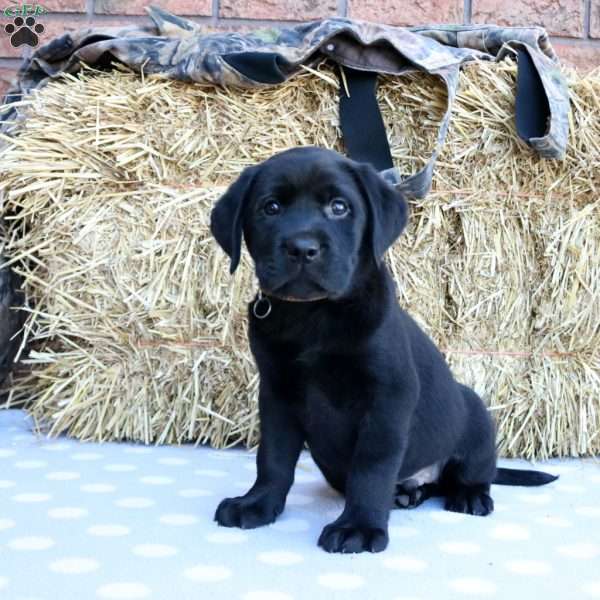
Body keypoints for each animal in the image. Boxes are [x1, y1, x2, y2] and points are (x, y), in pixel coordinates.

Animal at [211, 145, 556, 552]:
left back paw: (468, 495)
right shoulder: (277, 393)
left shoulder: (388, 397)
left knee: (473, 472)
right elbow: (274, 458)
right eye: (271, 207)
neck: (314, 314)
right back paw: (408, 493)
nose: (302, 248)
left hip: (476, 416)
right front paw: (257, 504)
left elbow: (371, 467)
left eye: (339, 207)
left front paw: (358, 527)